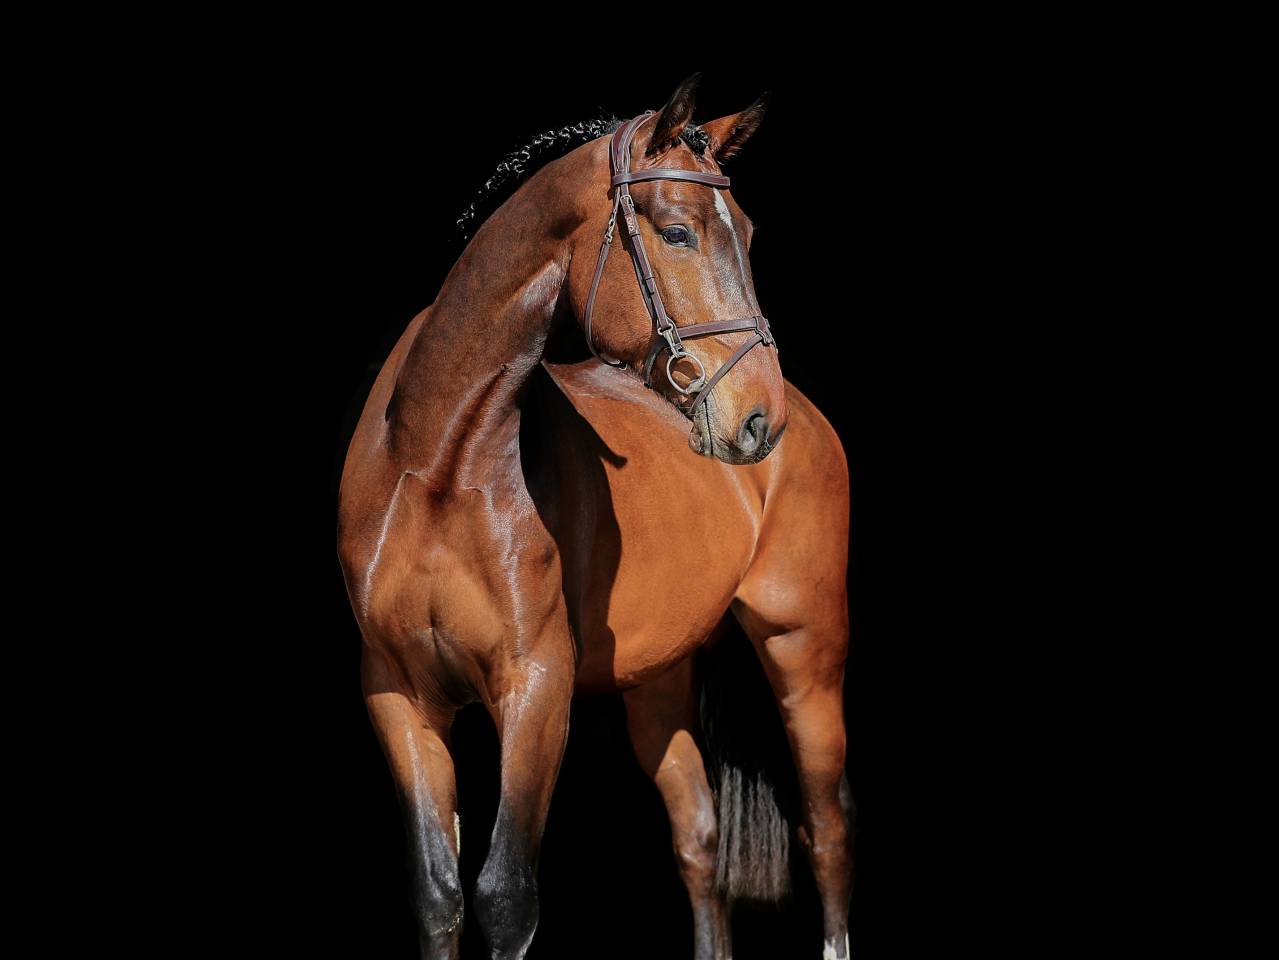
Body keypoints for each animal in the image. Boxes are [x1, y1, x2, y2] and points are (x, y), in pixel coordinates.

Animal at [337, 74, 853, 959]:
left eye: (749, 234)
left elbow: (506, 895)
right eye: (677, 231)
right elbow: (439, 894)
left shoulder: (535, 687)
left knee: (825, 831)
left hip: (804, 650)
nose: (758, 420)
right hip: (659, 682)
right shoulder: (398, 692)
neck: (435, 464)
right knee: (698, 838)